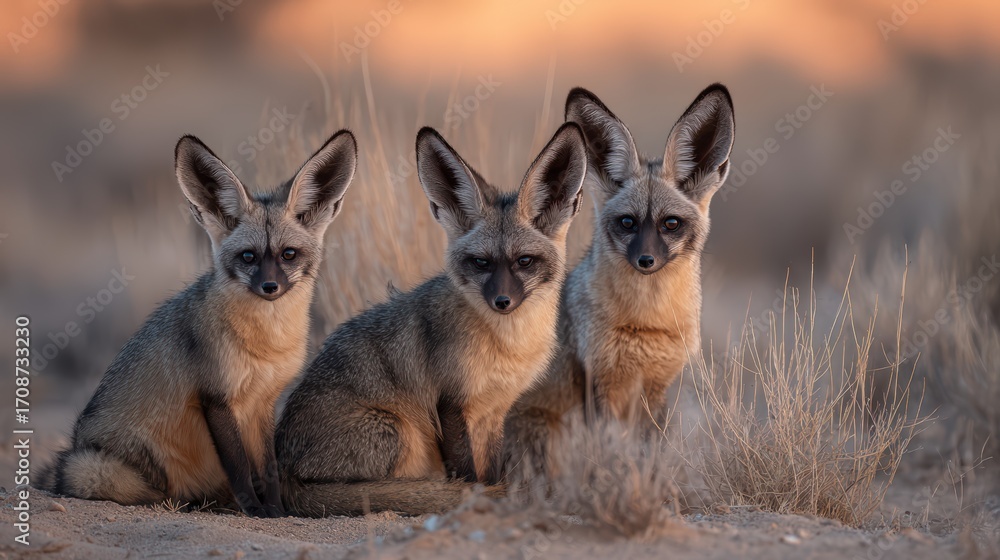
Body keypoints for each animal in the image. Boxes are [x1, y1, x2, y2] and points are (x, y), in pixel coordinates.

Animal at [36, 130, 358, 517]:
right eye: (248, 257)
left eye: (288, 255)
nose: (270, 287)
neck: (265, 344)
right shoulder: (215, 398)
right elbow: (240, 468)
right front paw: (255, 511)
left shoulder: (264, 402)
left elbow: (268, 468)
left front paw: (277, 511)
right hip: (103, 470)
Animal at [274, 122, 588, 517]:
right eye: (481, 263)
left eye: (524, 262)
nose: (502, 301)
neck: (507, 346)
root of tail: (283, 468)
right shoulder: (450, 402)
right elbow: (469, 476)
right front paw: (474, 503)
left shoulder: (496, 411)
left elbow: (490, 470)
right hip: (396, 429)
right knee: (362, 490)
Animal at [502, 84, 735, 475]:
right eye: (628, 223)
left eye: (670, 224)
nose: (646, 260)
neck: (645, 323)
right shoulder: (599, 382)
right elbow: (609, 450)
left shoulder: (658, 386)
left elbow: (650, 451)